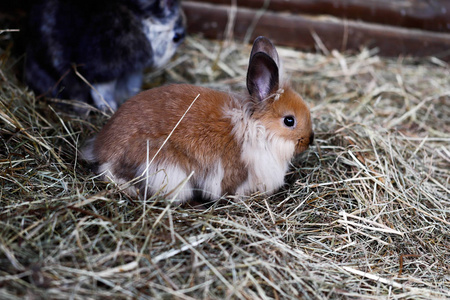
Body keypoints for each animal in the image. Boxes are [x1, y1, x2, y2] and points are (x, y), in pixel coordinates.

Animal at [23, 0, 185, 112]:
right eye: (176, 38)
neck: (145, 26)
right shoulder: (105, 69)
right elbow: (102, 91)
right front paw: (110, 108)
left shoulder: (130, 72)